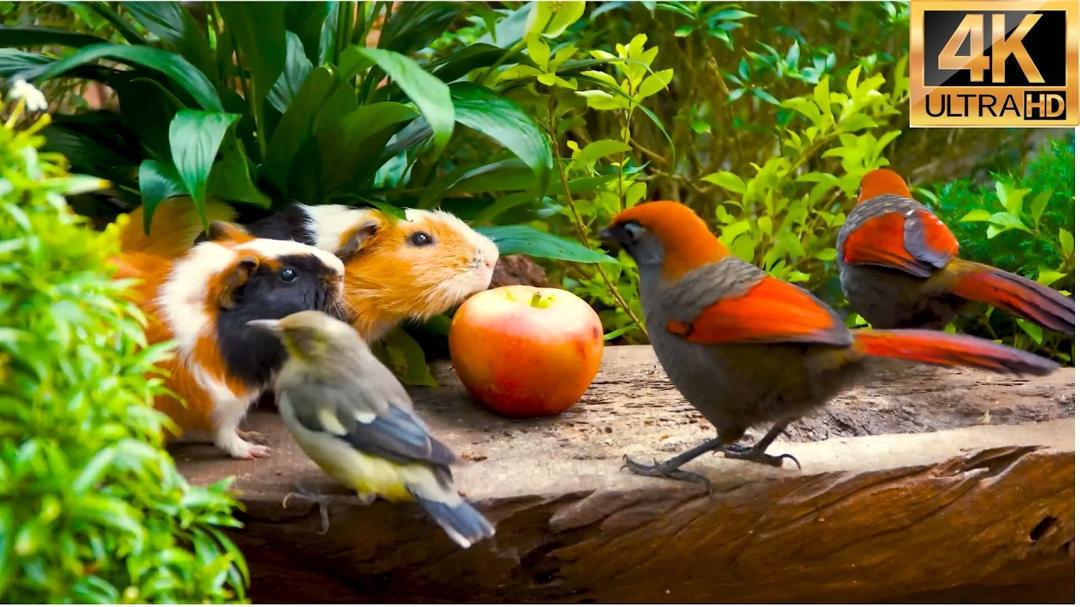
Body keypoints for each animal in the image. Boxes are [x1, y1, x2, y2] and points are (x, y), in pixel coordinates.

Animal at [113, 220, 346, 459]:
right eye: (288, 274)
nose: (341, 270)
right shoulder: (220, 399)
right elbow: (225, 435)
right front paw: (257, 450)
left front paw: (255, 437)